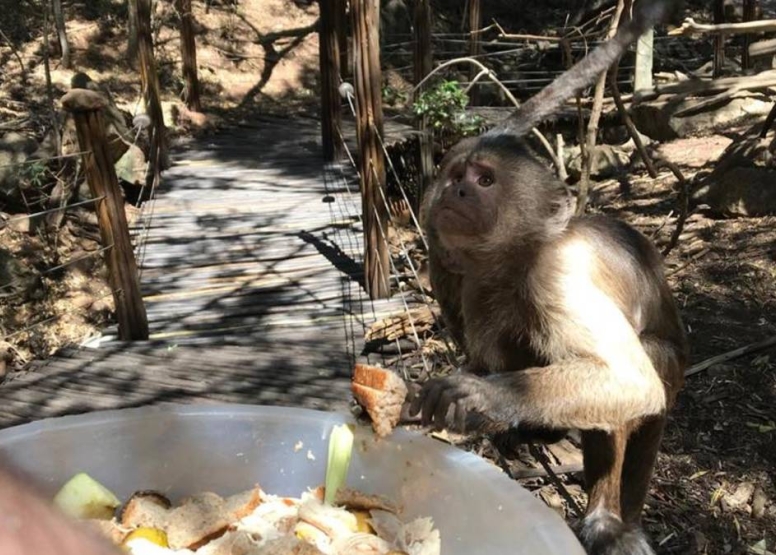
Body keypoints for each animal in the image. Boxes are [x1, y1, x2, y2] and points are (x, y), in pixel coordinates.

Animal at [410, 2, 689, 555]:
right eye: (457, 177)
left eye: (485, 181)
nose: (455, 192)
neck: (516, 257)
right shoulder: (458, 266)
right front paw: (468, 398)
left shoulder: (555, 276)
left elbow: (631, 381)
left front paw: (483, 397)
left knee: (647, 369)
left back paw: (611, 520)